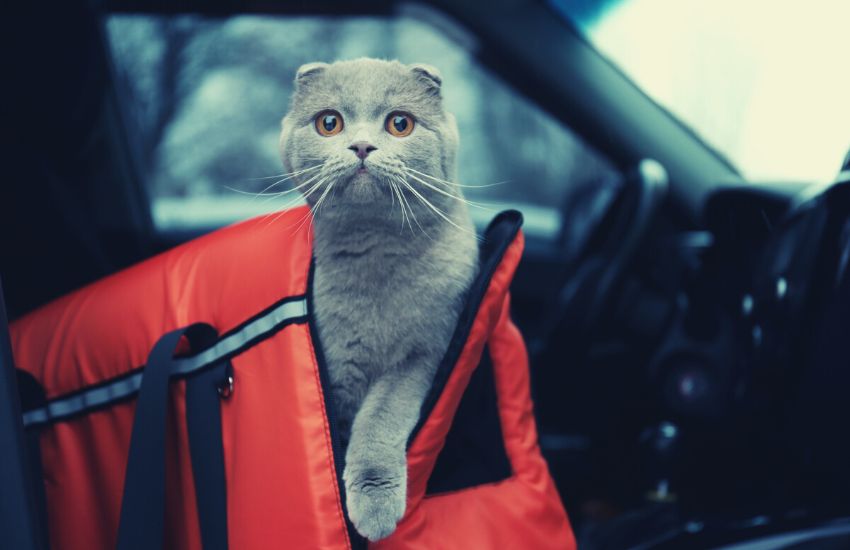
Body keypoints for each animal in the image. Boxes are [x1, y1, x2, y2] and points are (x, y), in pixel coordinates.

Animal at [276, 57, 476, 544]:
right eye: (329, 123)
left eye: (400, 124)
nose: (362, 146)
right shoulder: (336, 364)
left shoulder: (423, 353)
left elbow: (380, 417)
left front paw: (373, 501)